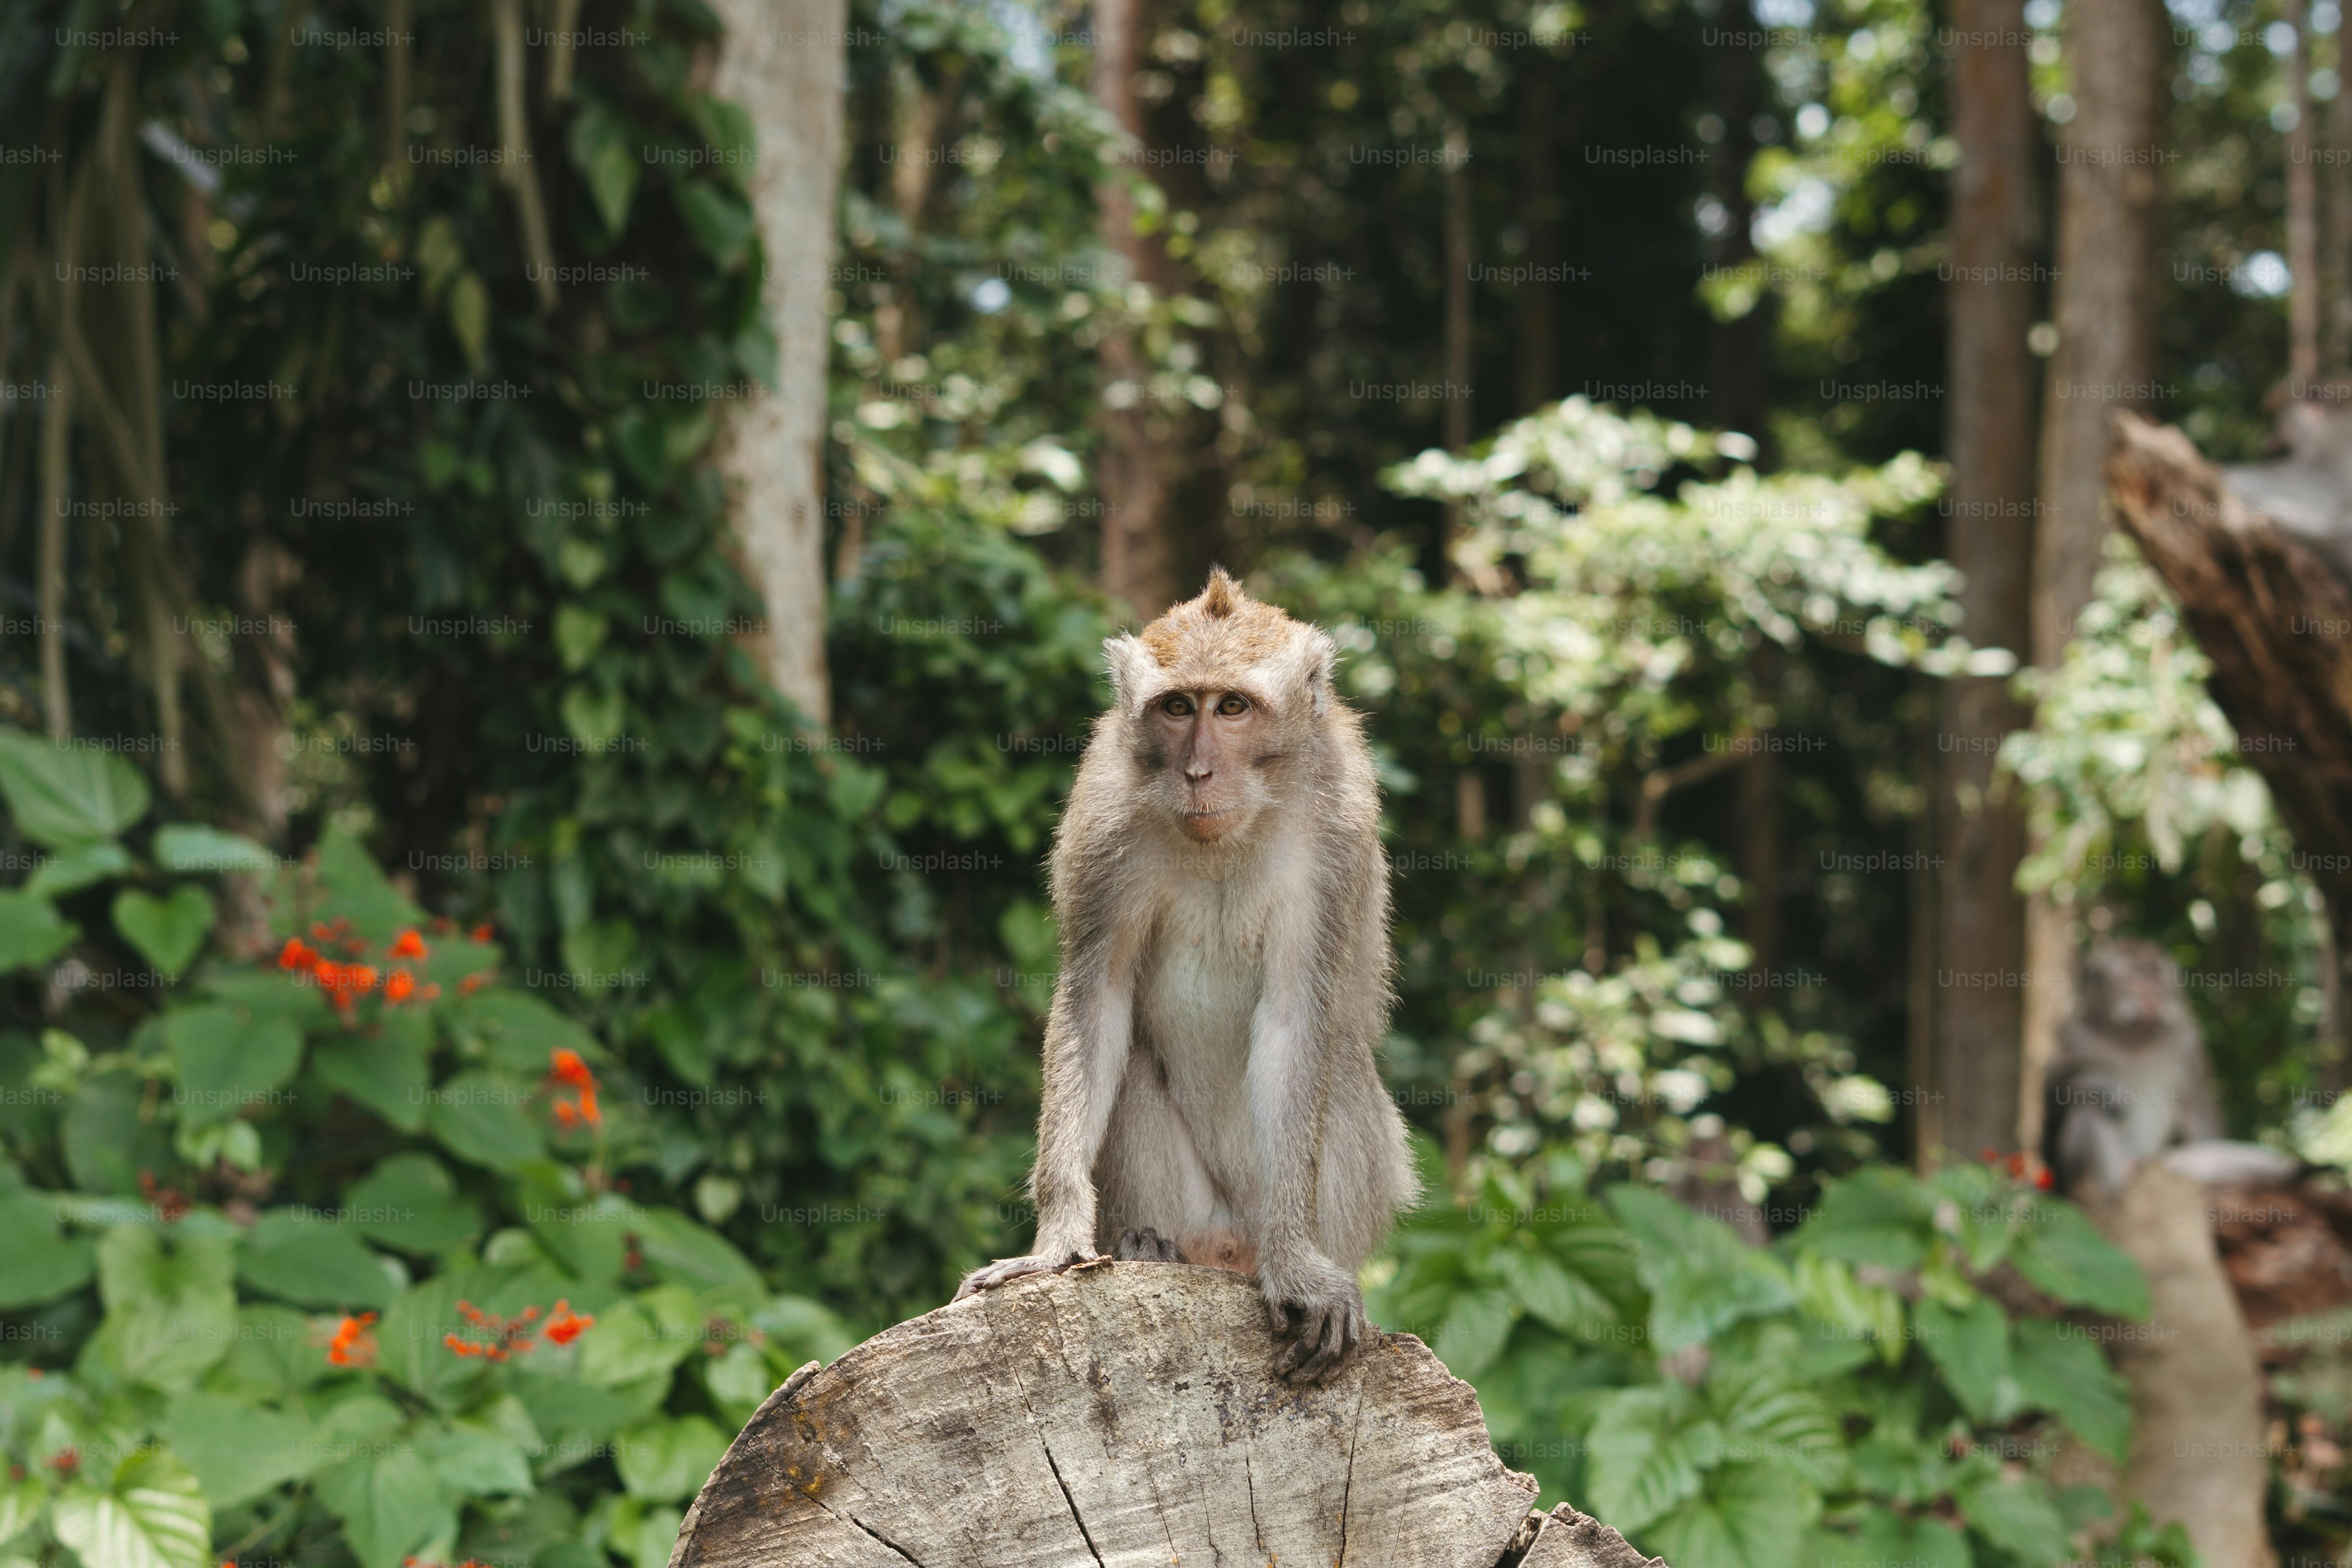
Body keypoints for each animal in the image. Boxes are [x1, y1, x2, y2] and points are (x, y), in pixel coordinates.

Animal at [953, 568, 1416, 1385]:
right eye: (1176, 708)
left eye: (1232, 706)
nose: (1198, 771)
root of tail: (1226, 1248)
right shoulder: (1104, 813)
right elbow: (1098, 1000)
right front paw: (1057, 1241)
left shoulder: (1339, 827)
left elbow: (1298, 1019)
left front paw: (1297, 1266)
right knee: (1134, 1062)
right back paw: (1151, 1246)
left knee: (1342, 1064)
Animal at [2041, 938, 2224, 1195]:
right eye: (2135, 978)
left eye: (2156, 977)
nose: (2152, 995)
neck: (2133, 1039)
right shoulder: (2073, 1035)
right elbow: (2053, 1104)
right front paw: (2103, 1088)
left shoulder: (2187, 1041)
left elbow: (2197, 1108)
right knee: (2089, 1109)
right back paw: (2113, 1183)